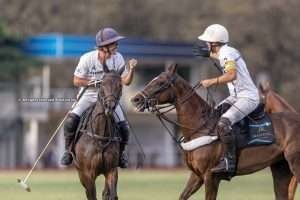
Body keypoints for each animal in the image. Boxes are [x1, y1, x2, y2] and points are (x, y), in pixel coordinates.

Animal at [74, 66, 123, 199]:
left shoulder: (111, 170)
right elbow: (92, 195)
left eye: (120, 85)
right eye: (102, 84)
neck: (101, 135)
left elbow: (112, 195)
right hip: (80, 173)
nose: (110, 107)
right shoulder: (87, 174)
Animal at [132, 64, 300, 200]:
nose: (136, 99)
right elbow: (182, 196)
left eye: (160, 83)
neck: (200, 126)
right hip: (281, 169)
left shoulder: (211, 176)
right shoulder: (197, 175)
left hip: (295, 165)